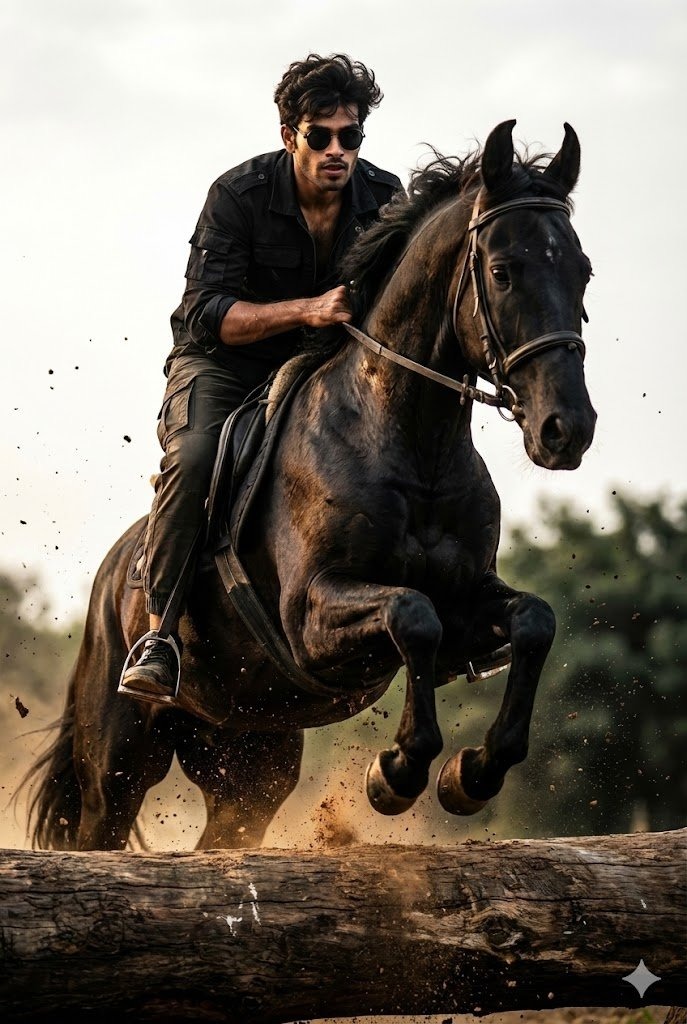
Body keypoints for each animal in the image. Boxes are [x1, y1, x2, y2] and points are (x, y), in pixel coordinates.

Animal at [25, 119, 596, 851]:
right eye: (501, 271)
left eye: (582, 271)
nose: (566, 429)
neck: (412, 441)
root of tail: (110, 572)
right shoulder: (310, 615)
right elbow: (413, 614)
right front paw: (397, 771)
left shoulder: (470, 597)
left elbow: (532, 620)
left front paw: (471, 773)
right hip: (120, 758)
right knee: (102, 827)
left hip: (249, 759)